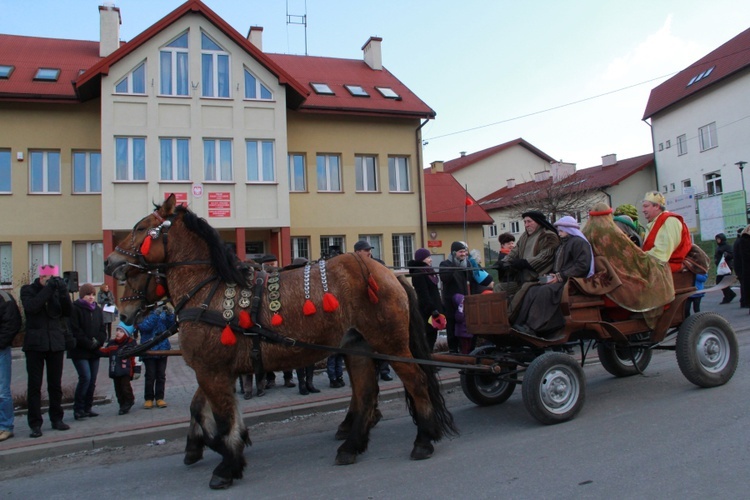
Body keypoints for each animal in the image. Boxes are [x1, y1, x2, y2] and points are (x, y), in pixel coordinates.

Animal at [105, 194, 458, 488]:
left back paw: (424, 439)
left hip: (390, 344)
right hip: (356, 345)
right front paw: (206, 446)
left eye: (140, 228)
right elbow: (203, 410)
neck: (208, 290)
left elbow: (222, 418)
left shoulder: (211, 370)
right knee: (366, 392)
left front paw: (227, 463)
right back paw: (352, 445)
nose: (110, 263)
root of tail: (388, 273)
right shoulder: (216, 369)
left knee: (414, 381)